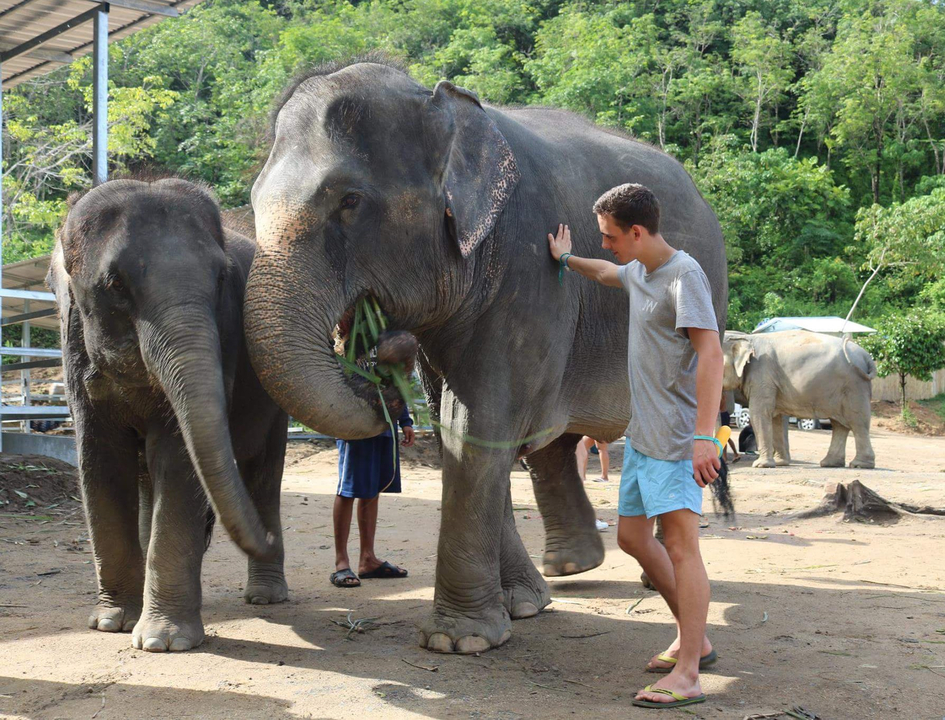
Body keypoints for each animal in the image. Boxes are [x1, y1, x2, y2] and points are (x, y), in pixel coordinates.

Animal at [47, 177, 289, 652]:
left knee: (264, 473)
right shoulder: (73, 350)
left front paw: (163, 642)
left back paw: (266, 597)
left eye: (221, 278)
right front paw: (112, 623)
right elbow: (101, 463)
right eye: (115, 283)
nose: (267, 540)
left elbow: (179, 459)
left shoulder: (225, 334)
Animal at [244, 60, 728, 654]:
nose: (374, 355)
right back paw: (569, 568)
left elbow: (477, 420)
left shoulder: (527, 266)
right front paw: (520, 607)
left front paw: (458, 641)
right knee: (549, 442)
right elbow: (470, 424)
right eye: (253, 201)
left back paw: (647, 575)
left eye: (349, 200)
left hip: (710, 298)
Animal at [722, 330, 876, 469]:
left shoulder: (762, 375)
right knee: (839, 424)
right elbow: (776, 418)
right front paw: (779, 463)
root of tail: (867, 357)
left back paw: (859, 465)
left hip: (855, 386)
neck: (746, 338)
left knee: (857, 422)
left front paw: (761, 465)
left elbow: (759, 413)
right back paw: (830, 463)